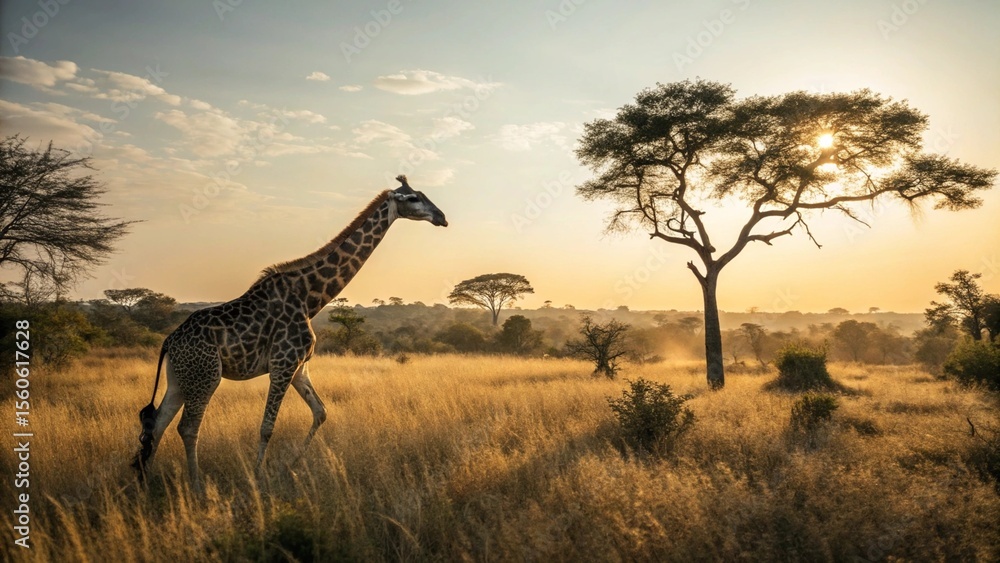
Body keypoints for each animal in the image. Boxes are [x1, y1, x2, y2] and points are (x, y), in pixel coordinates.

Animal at [132, 175, 447, 489]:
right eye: (413, 198)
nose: (441, 217)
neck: (310, 299)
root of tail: (169, 341)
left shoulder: (299, 367)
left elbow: (321, 412)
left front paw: (290, 467)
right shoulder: (282, 365)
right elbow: (267, 426)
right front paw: (258, 476)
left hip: (179, 379)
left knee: (158, 423)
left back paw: (146, 481)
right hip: (205, 376)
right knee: (187, 427)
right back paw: (196, 486)